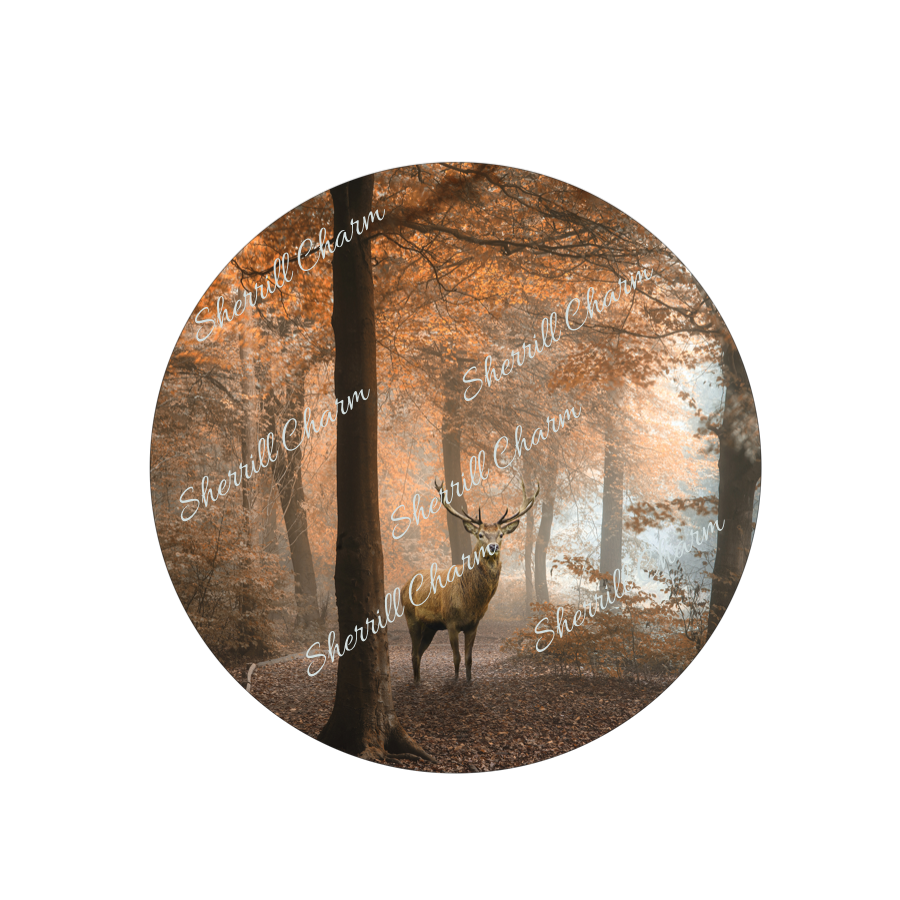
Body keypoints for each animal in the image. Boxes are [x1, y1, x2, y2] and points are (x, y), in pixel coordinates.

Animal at [401, 479, 539, 683]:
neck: (470, 601)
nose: (493, 546)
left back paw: (419, 680)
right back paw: (417, 682)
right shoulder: (450, 621)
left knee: (418, 652)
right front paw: (455, 681)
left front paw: (468, 681)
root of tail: (404, 585)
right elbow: (456, 658)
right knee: (413, 653)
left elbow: (469, 659)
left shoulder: (474, 624)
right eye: (480, 534)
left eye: (501, 534)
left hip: (430, 626)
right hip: (411, 617)